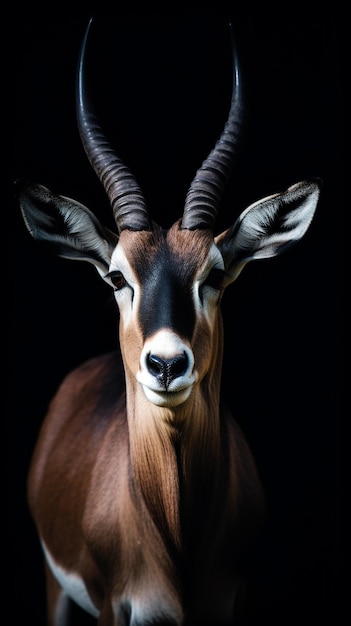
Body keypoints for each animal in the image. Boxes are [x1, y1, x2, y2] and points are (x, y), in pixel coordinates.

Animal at [17, 17, 322, 624]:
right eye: (117, 276)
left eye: (216, 273)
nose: (164, 364)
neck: (176, 538)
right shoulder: (114, 607)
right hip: (55, 588)